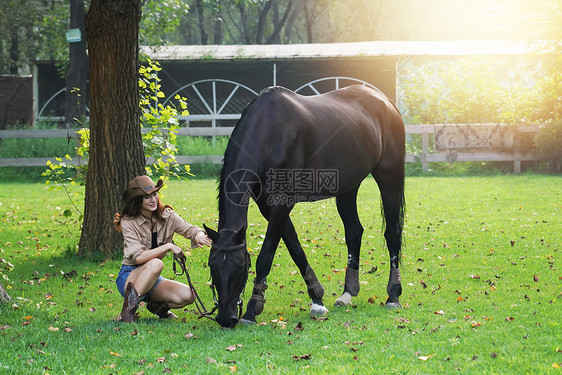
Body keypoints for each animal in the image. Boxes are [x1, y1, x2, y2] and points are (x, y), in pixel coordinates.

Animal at [203, 85, 404, 328]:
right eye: (212, 265)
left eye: (241, 266)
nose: (225, 318)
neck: (270, 132)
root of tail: (384, 99)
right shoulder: (267, 206)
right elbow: (296, 250)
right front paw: (317, 298)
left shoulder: (282, 203)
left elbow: (266, 256)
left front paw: (252, 310)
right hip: (348, 187)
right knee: (354, 231)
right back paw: (347, 294)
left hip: (390, 175)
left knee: (392, 233)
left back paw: (393, 295)